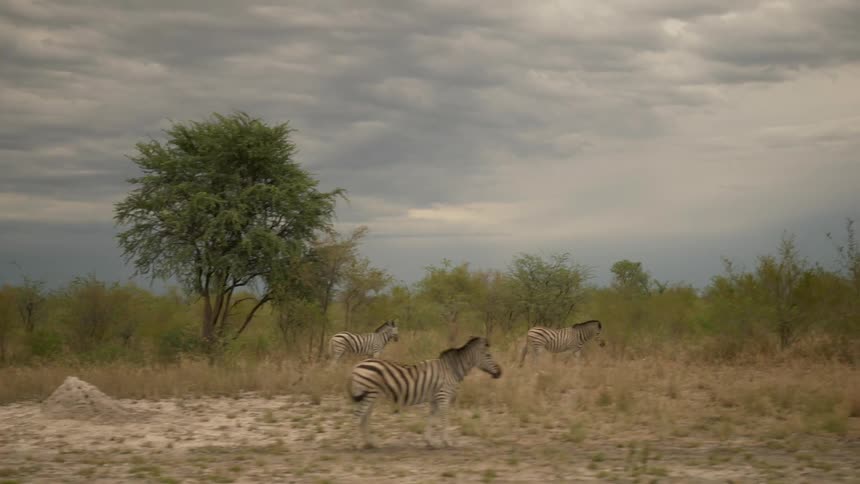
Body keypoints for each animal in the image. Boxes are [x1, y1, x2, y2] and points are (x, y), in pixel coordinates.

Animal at [349, 336, 502, 448]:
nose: (500, 373)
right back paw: (356, 444)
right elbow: (444, 419)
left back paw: (371, 443)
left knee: (364, 418)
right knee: (358, 416)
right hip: (369, 394)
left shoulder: (435, 398)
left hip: (371, 395)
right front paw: (447, 442)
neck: (451, 369)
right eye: (488, 355)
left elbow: (431, 419)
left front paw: (429, 442)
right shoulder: (443, 396)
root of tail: (357, 365)